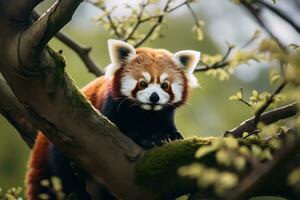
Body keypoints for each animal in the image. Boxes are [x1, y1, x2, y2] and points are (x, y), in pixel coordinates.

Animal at [25, 39, 200, 199]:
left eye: (164, 85)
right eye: (143, 83)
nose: (154, 97)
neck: (145, 113)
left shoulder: (163, 116)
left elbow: (167, 125)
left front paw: (172, 135)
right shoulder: (110, 110)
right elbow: (127, 133)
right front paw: (153, 139)